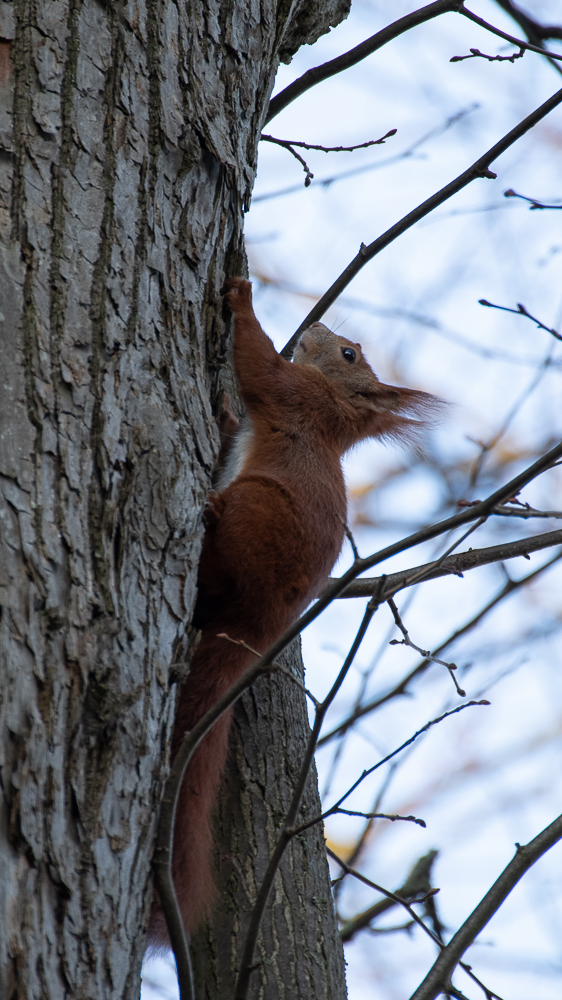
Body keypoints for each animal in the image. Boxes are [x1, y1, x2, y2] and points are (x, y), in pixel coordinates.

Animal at [148, 276, 438, 944]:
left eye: (349, 354)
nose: (318, 326)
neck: (334, 415)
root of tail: (257, 630)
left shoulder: (294, 395)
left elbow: (257, 367)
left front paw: (241, 296)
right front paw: (225, 413)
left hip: (256, 518)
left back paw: (209, 513)